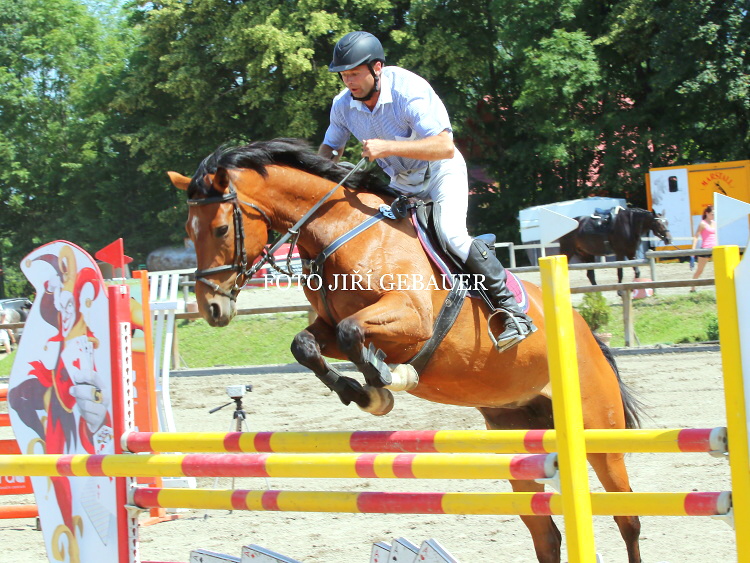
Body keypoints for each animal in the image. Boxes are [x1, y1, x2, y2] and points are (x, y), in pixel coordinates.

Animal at [168, 138, 644, 563]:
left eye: (220, 228)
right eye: (188, 233)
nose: (212, 308)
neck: (340, 231)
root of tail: (587, 335)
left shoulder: (411, 318)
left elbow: (353, 334)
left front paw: (387, 380)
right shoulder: (326, 327)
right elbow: (306, 344)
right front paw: (360, 392)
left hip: (598, 434)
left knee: (627, 519)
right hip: (517, 437)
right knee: (545, 534)